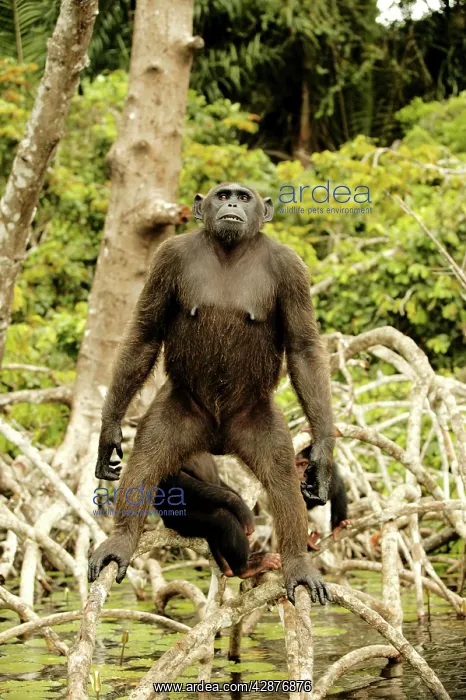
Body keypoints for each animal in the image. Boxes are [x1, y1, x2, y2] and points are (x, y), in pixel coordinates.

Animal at [88, 181, 335, 606]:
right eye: (222, 195)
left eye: (244, 196)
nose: (232, 203)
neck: (230, 250)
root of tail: (218, 439)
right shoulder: (167, 258)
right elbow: (144, 334)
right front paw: (109, 431)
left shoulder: (292, 270)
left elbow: (303, 349)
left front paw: (320, 456)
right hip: (180, 414)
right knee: (146, 462)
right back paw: (121, 541)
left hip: (255, 420)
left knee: (282, 479)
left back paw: (295, 563)